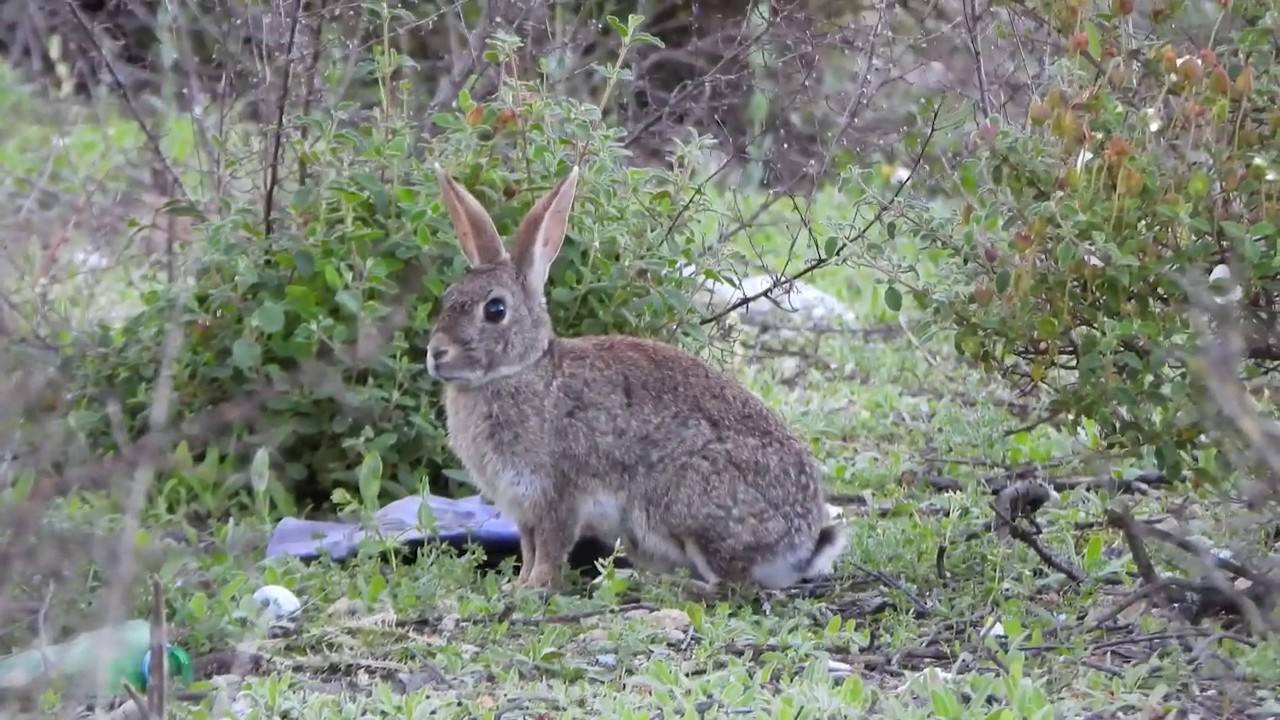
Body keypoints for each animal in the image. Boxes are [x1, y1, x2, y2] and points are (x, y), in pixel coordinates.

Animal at [425, 164, 848, 591]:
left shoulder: (558, 494)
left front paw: (536, 588)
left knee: (730, 584)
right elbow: (528, 548)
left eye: (495, 310)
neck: (521, 370)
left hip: (684, 503)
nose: (436, 353)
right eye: (448, 297)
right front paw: (518, 586)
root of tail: (799, 547)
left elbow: (550, 547)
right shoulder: (524, 507)